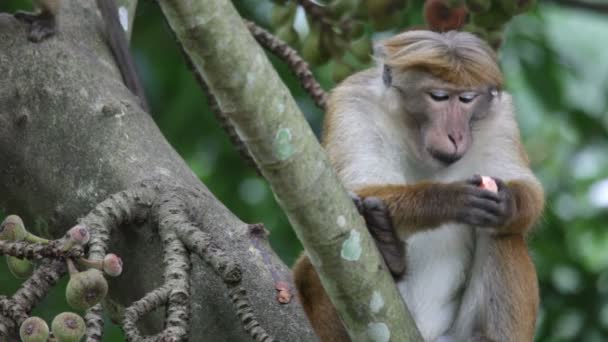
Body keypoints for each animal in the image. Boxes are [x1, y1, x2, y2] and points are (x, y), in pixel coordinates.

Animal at [292, 30, 544, 342]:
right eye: (438, 97)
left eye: (467, 99)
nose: (456, 134)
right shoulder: (353, 103)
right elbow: (346, 194)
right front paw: (450, 199)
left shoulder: (501, 119)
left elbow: (529, 190)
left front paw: (507, 202)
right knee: (311, 268)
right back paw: (389, 251)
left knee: (502, 233)